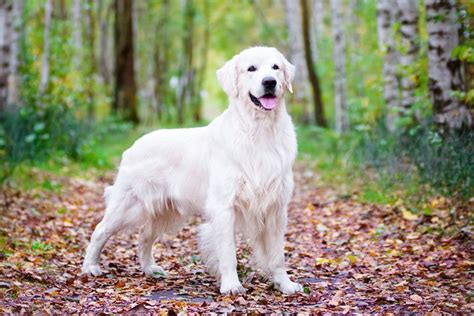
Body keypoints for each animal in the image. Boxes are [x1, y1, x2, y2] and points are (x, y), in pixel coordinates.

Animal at [82, 45, 302, 296]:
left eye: (276, 67)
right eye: (251, 69)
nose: (269, 82)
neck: (260, 131)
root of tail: (133, 146)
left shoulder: (276, 208)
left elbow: (277, 255)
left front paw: (285, 284)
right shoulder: (224, 206)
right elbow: (228, 252)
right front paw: (231, 285)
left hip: (166, 212)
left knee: (144, 237)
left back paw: (150, 269)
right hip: (128, 206)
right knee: (100, 230)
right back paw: (90, 267)